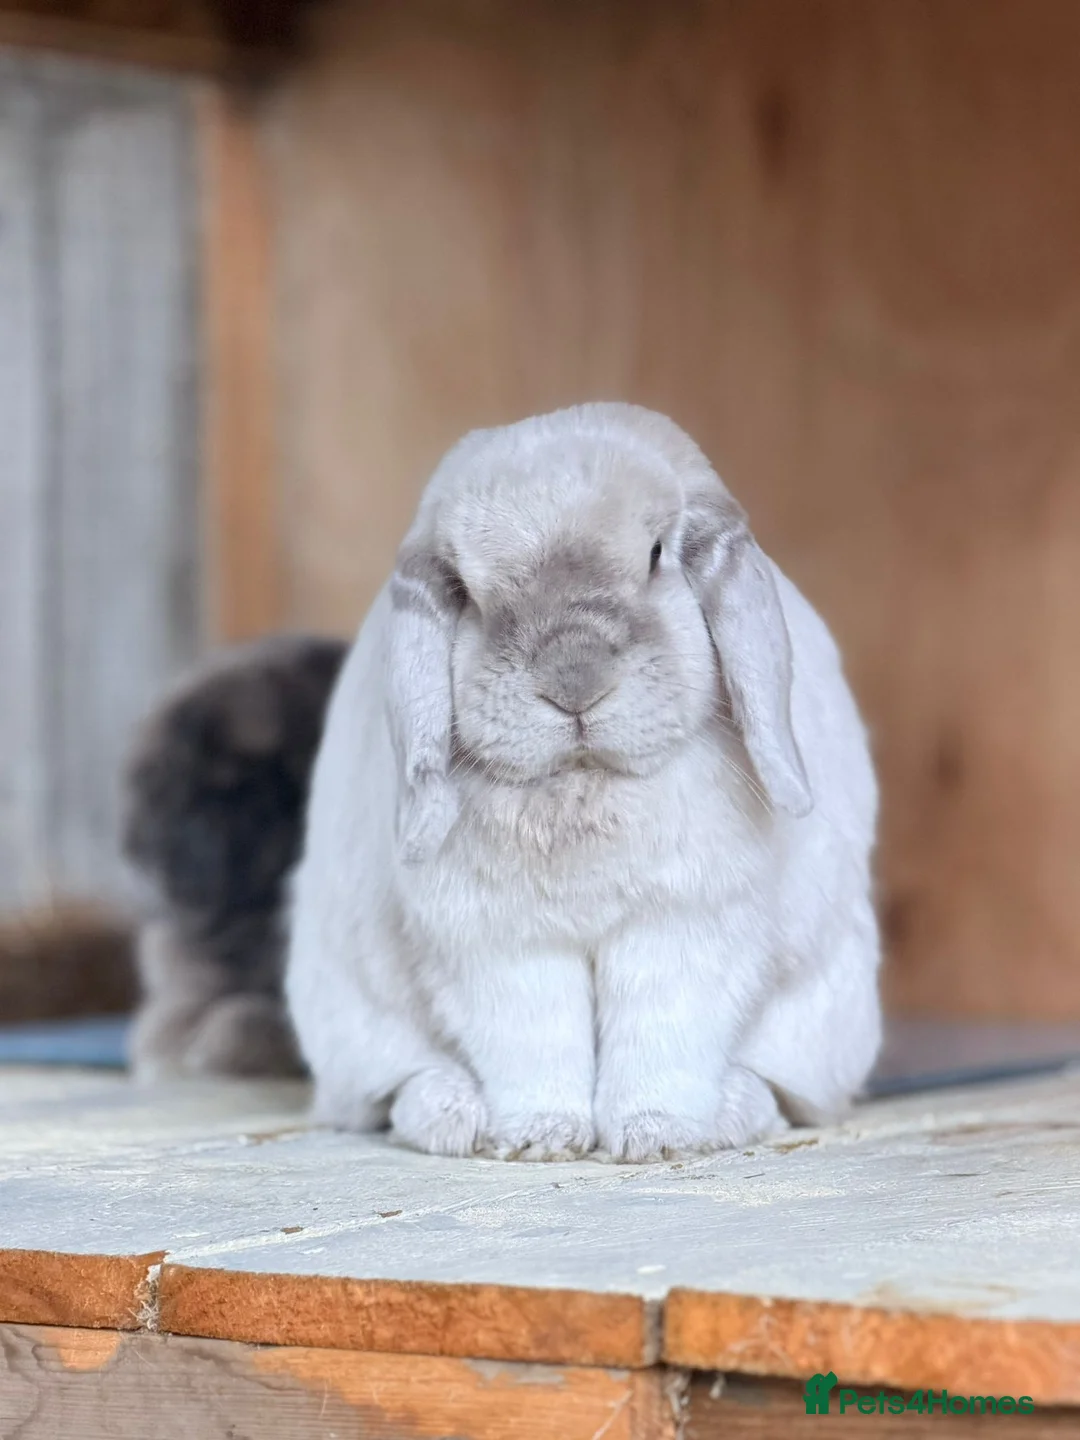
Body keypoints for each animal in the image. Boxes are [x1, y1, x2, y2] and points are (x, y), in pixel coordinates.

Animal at [286, 403, 881, 1161]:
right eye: (466, 592)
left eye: (656, 554)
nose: (574, 682)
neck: (582, 785)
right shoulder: (501, 948)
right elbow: (535, 1043)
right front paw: (539, 1139)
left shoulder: (682, 927)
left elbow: (663, 1037)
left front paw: (656, 1137)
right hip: (350, 1021)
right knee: (390, 1093)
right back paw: (453, 1116)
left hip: (825, 1020)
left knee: (783, 1093)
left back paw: (728, 1112)